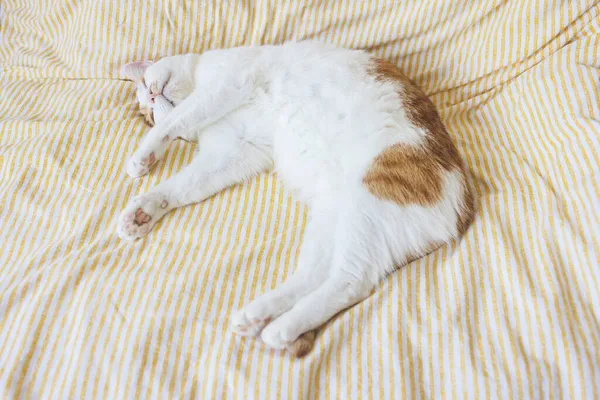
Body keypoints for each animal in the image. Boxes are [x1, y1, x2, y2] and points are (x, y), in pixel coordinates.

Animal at [118, 42, 474, 358]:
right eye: (147, 111)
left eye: (147, 89)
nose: (151, 97)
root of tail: (465, 205)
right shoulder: (235, 149)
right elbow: (182, 186)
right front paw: (143, 211)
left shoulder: (227, 83)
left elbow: (176, 120)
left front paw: (141, 157)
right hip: (333, 217)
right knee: (314, 276)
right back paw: (259, 316)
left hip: (367, 204)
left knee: (353, 281)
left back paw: (281, 328)